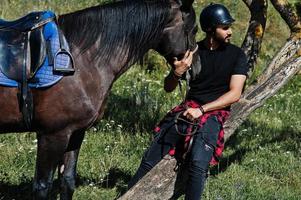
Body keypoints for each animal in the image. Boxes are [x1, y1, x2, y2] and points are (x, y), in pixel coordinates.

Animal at [0, 0, 198, 198]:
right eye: (194, 30)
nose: (196, 69)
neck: (80, 62)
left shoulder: (75, 132)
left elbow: (67, 181)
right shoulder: (52, 135)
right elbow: (42, 186)